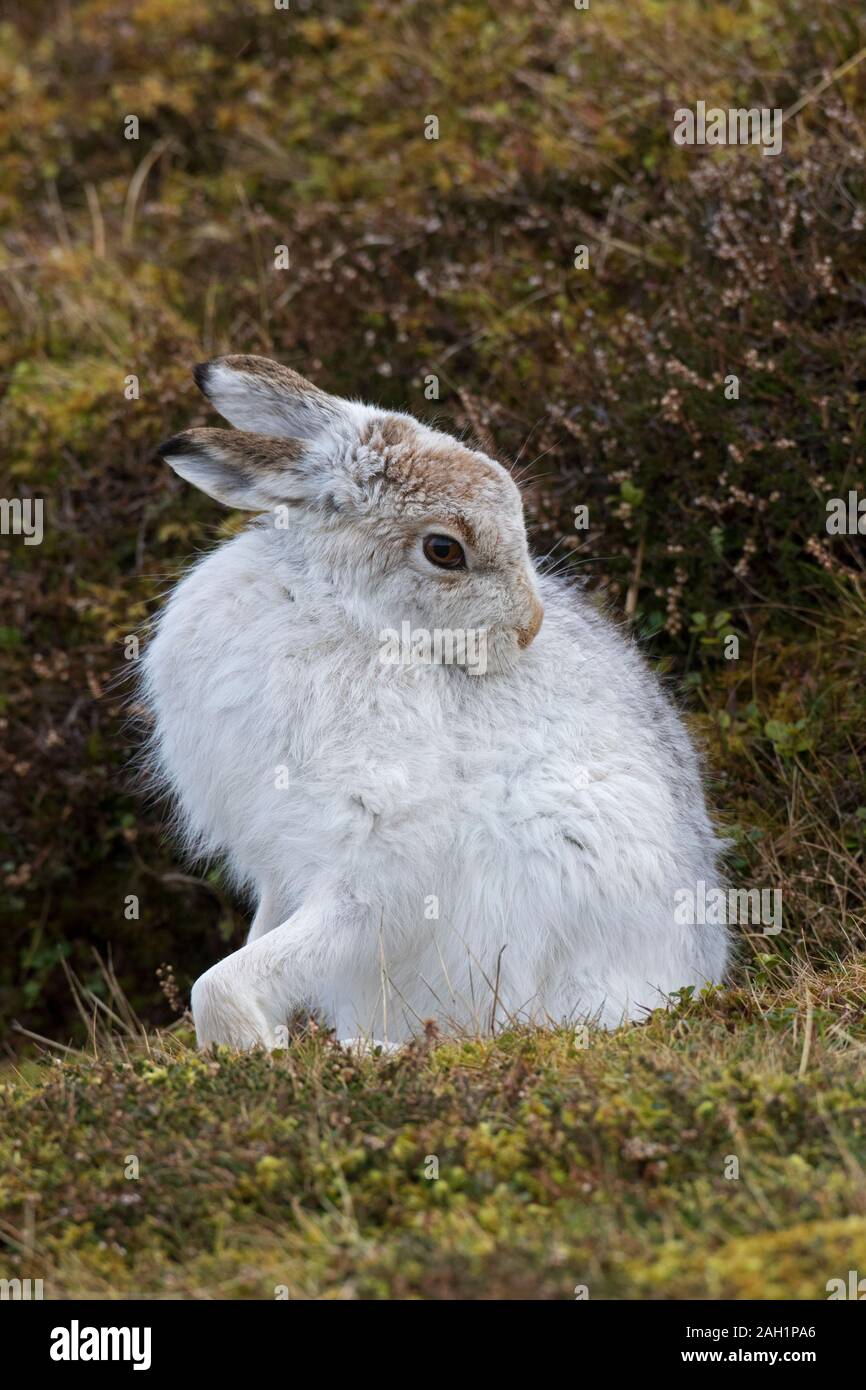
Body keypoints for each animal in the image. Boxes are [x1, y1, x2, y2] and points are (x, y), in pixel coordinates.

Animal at [142, 354, 728, 1050]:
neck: (334, 607)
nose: (529, 628)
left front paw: (253, 1051)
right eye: (444, 550)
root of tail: (693, 972)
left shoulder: (377, 864)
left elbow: (223, 982)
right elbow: (253, 947)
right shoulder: (283, 868)